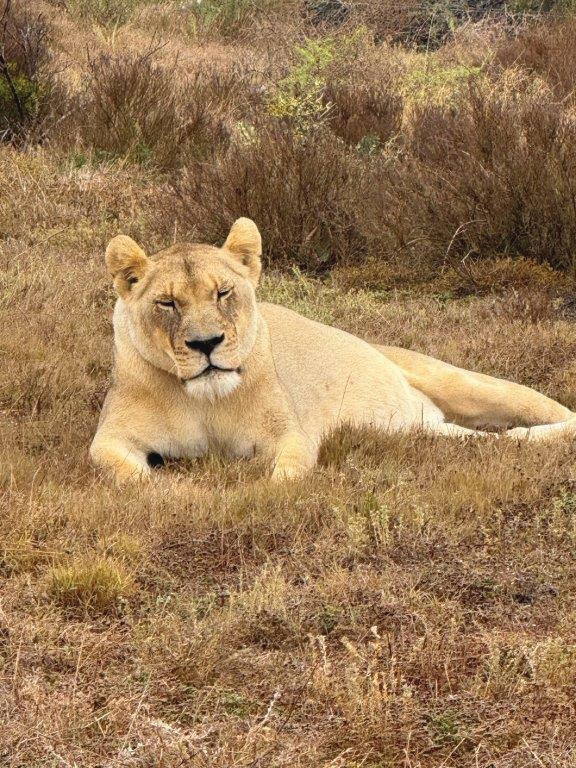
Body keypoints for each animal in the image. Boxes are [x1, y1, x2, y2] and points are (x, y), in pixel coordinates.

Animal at [90, 217, 576, 483]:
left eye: (223, 292)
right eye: (167, 303)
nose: (206, 343)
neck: (204, 401)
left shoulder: (291, 435)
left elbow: (287, 475)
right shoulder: (110, 438)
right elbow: (120, 471)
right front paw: (168, 485)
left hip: (462, 382)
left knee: (556, 416)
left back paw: (525, 434)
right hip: (428, 432)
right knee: (478, 441)